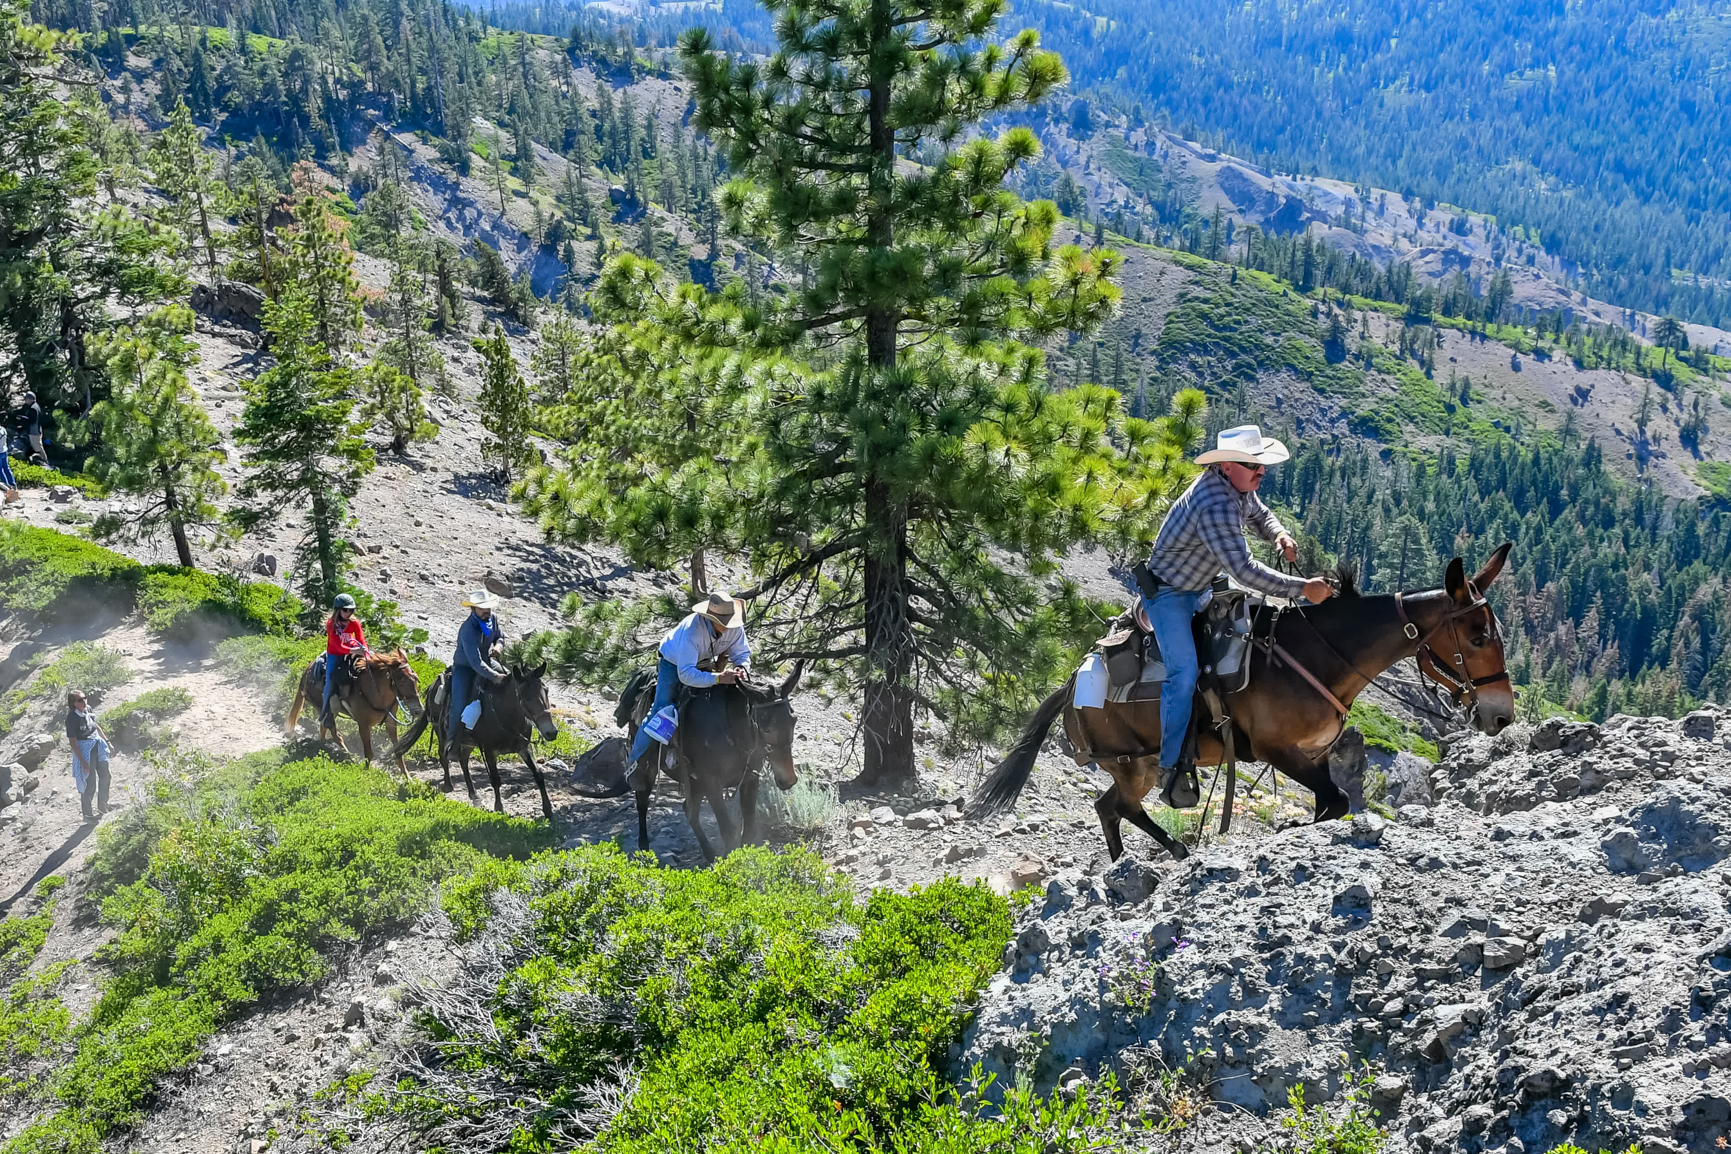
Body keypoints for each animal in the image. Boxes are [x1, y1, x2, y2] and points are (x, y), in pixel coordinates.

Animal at [623, 664, 803, 861]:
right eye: (766, 728)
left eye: (794, 720)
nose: (788, 779)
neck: (731, 731)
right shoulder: (711, 783)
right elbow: (727, 830)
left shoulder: (749, 779)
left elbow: (748, 829)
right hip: (652, 768)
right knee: (642, 801)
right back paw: (644, 847)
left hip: (694, 781)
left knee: (689, 811)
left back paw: (710, 854)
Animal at [969, 546, 1509, 861]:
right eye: (1478, 636)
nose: (1501, 714)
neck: (1319, 655)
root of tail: (1072, 681)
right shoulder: (1277, 751)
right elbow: (1335, 801)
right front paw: (1289, 827)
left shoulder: (1312, 756)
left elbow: (1330, 804)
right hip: (1128, 761)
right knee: (1119, 806)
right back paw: (1173, 850)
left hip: (1138, 764)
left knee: (1109, 807)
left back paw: (1136, 861)